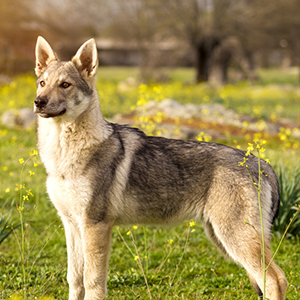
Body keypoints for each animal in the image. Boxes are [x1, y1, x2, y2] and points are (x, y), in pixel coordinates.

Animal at [34, 37, 288, 300]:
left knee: (276, 279)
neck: (63, 154)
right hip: (221, 238)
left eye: (65, 85)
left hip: (234, 239)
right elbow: (75, 280)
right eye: (42, 83)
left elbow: (93, 283)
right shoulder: (71, 225)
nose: (38, 102)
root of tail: (259, 162)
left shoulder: (95, 226)